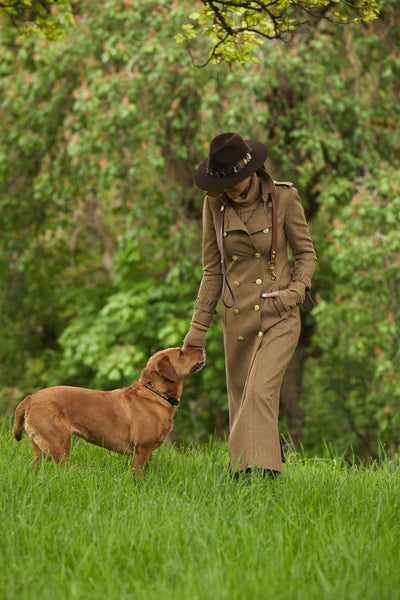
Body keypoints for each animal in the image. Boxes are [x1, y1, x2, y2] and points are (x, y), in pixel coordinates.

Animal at [10, 346, 205, 474]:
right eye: (181, 353)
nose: (201, 349)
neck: (155, 393)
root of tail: (30, 398)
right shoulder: (142, 450)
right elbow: (137, 477)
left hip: (42, 450)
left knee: (30, 467)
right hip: (59, 445)